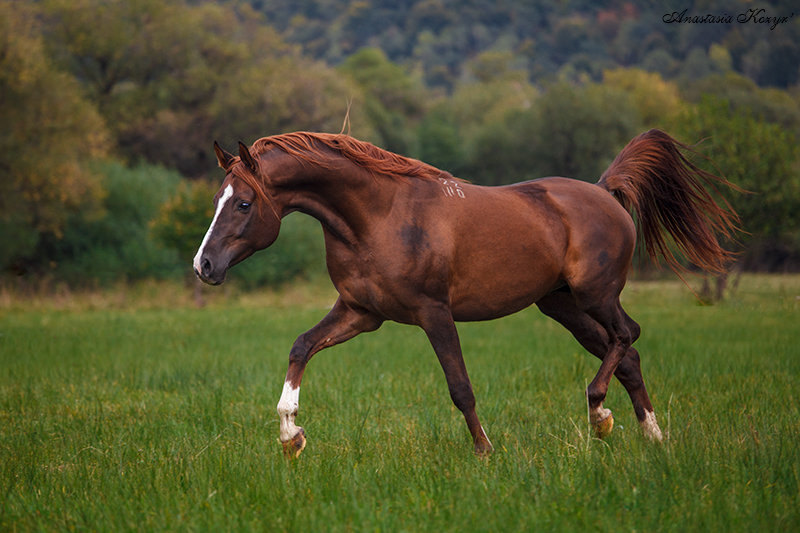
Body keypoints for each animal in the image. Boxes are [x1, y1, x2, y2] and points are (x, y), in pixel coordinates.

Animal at [192, 130, 736, 458]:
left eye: (243, 203)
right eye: (218, 199)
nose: (204, 266)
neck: (379, 216)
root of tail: (605, 191)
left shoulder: (433, 312)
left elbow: (460, 386)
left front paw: (485, 453)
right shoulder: (361, 312)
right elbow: (301, 346)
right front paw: (291, 435)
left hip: (595, 295)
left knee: (628, 335)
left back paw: (600, 412)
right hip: (560, 305)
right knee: (629, 356)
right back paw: (650, 436)